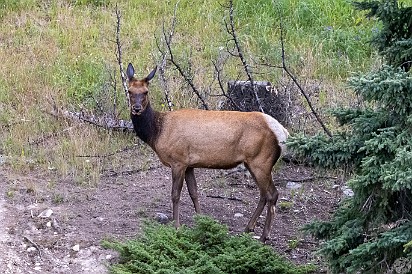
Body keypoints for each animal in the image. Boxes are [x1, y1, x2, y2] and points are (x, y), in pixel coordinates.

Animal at [127, 62, 288, 242]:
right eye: (129, 91)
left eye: (146, 92)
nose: (136, 108)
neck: (157, 132)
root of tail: (283, 133)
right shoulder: (189, 164)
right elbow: (194, 192)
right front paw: (200, 219)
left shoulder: (178, 161)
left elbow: (175, 194)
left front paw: (176, 226)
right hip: (252, 163)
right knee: (263, 194)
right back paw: (249, 228)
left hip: (261, 161)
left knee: (272, 194)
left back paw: (264, 236)